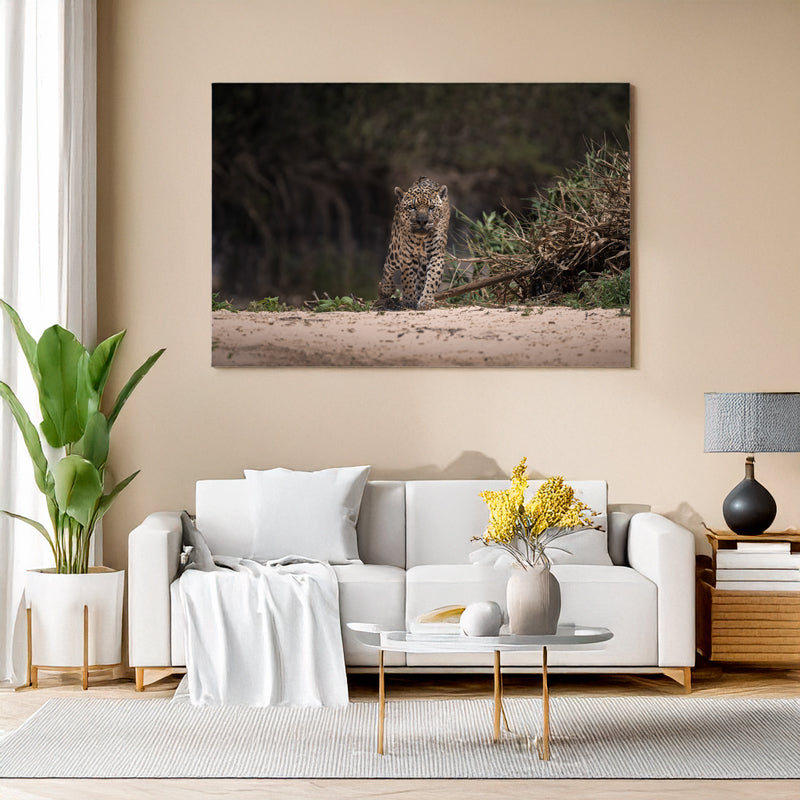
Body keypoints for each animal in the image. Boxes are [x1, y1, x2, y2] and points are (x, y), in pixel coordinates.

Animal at [376, 176, 450, 310]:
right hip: (395, 248)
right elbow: (408, 277)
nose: (422, 221)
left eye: (431, 207)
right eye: (412, 207)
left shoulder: (436, 254)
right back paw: (385, 289)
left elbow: (433, 277)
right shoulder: (406, 255)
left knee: (421, 277)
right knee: (388, 265)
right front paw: (409, 300)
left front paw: (426, 301)